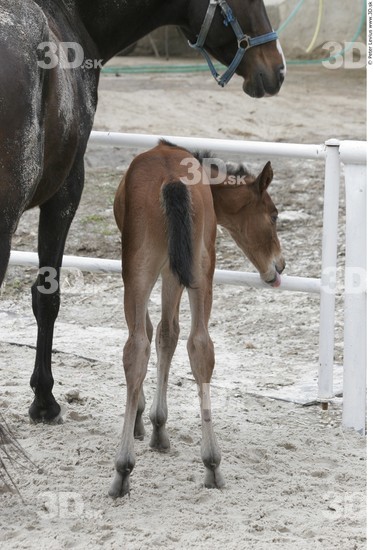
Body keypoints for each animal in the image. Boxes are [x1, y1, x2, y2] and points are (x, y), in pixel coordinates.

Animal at [109, 140, 284, 498]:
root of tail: (172, 179)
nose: (280, 265)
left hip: (146, 270)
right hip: (197, 268)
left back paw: (125, 468)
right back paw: (211, 464)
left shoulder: (168, 272)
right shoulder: (174, 270)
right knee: (196, 345)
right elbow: (165, 334)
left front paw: (151, 423)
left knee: (142, 345)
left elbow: (162, 333)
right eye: (273, 215)